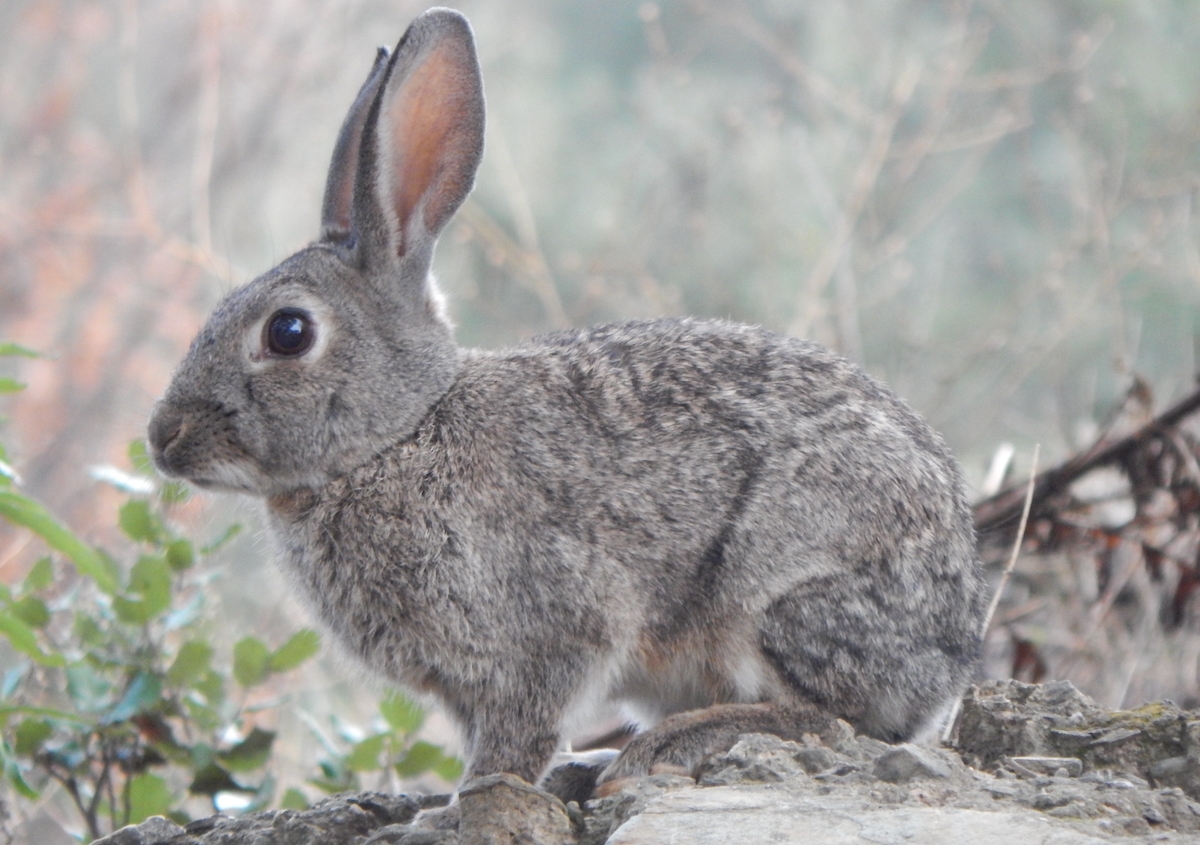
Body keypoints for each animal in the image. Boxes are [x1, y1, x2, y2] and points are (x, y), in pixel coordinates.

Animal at [148, 7, 986, 803]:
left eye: (288, 332)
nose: (162, 436)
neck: (400, 435)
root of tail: (954, 647)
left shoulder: (545, 632)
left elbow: (517, 736)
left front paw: (453, 808)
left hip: (778, 593)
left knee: (836, 720)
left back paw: (667, 746)